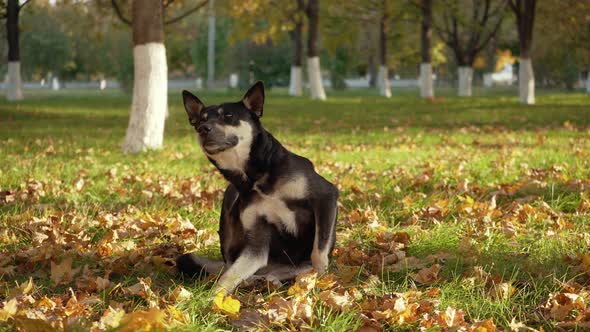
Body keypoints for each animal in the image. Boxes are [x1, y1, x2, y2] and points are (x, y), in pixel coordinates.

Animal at [178, 81, 340, 294]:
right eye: (199, 121)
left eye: (228, 116)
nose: (202, 129)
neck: (255, 178)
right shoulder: (256, 242)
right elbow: (228, 276)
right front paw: (212, 298)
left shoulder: (326, 197)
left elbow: (318, 252)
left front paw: (321, 283)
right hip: (230, 199)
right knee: (231, 267)